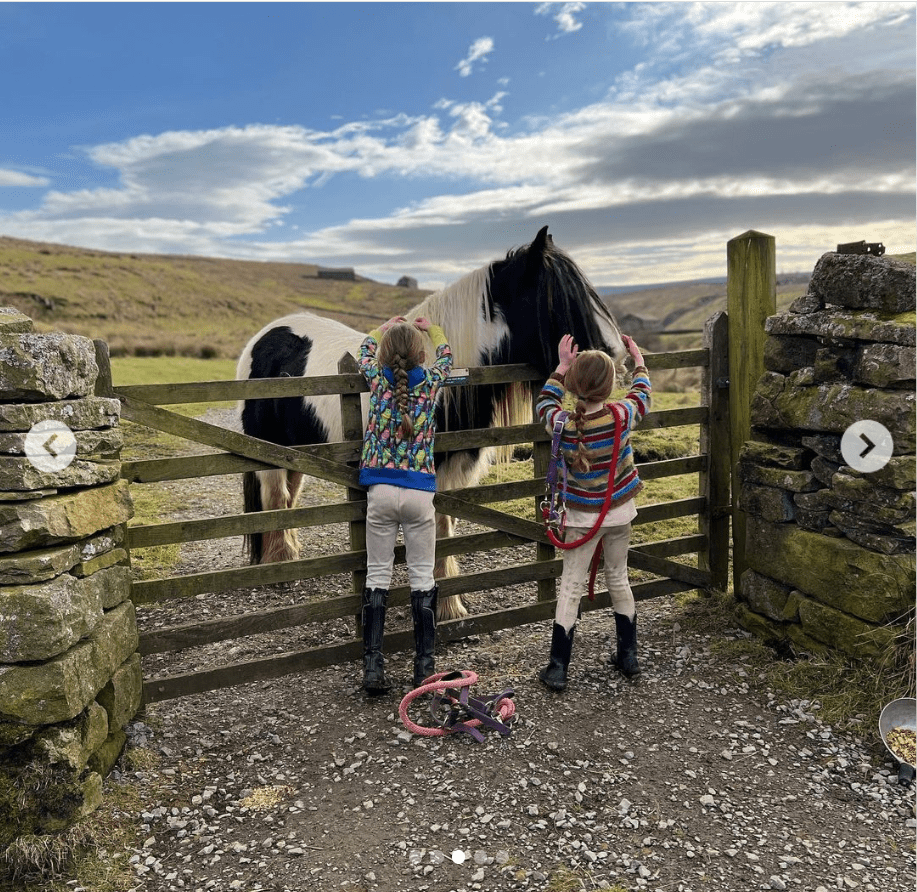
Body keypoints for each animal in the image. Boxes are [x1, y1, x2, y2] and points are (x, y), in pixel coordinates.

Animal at [236, 228, 624, 620]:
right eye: (560, 296)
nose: (615, 357)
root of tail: (263, 337)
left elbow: (444, 532)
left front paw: (449, 606)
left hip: (299, 451)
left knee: (289, 497)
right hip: (267, 447)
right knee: (275, 497)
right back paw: (281, 566)